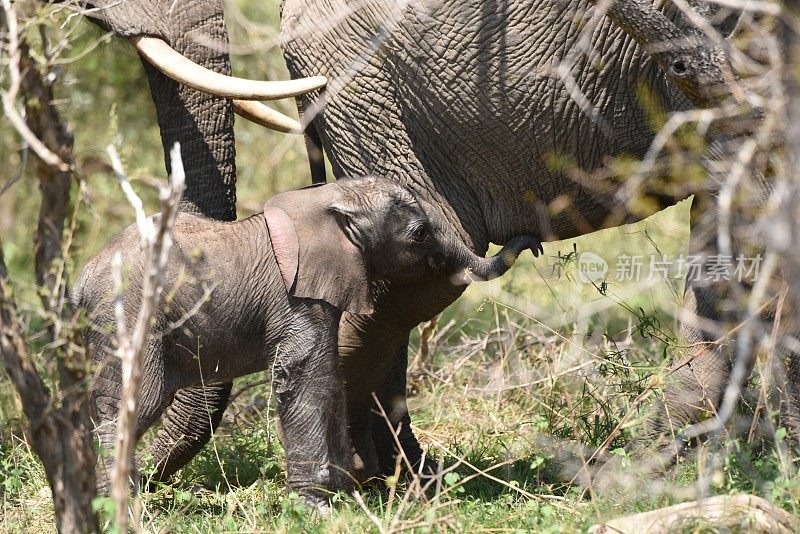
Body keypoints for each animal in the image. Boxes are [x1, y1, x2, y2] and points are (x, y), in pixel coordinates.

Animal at [75, 177, 544, 506]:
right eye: (419, 234)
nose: (533, 242)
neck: (327, 201)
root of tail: (82, 276)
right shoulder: (297, 300)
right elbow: (307, 379)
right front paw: (316, 506)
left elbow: (329, 377)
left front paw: (346, 493)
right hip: (129, 316)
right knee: (137, 402)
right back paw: (117, 503)